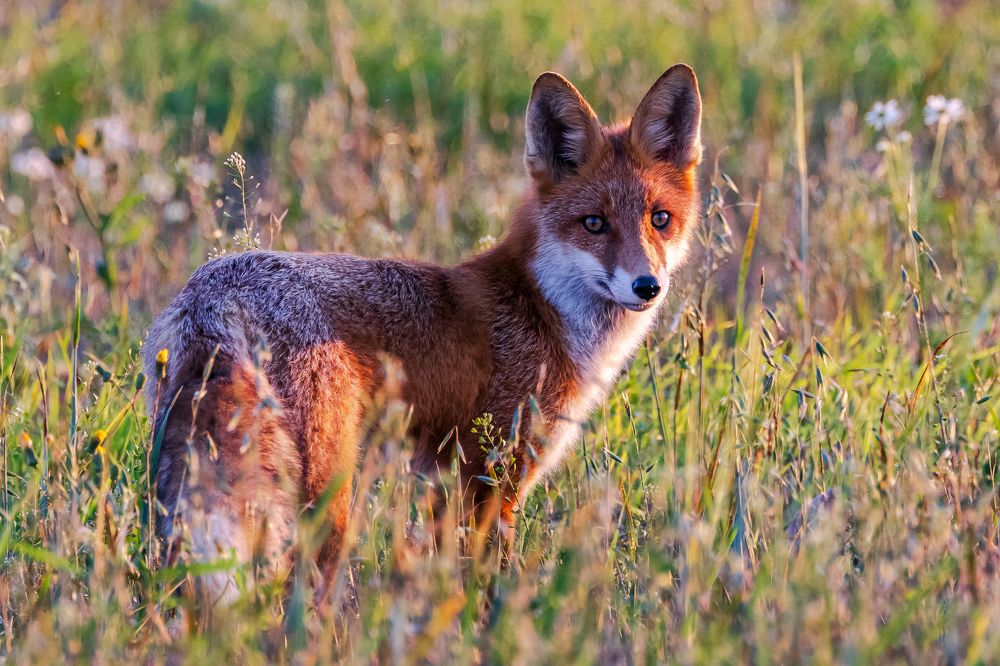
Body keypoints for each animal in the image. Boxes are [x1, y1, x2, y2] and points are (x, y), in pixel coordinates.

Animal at [143, 64, 703, 601]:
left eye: (660, 219)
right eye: (593, 223)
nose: (647, 286)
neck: (541, 310)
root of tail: (217, 292)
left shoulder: (443, 484)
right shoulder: (489, 478)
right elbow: (488, 585)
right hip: (327, 497)